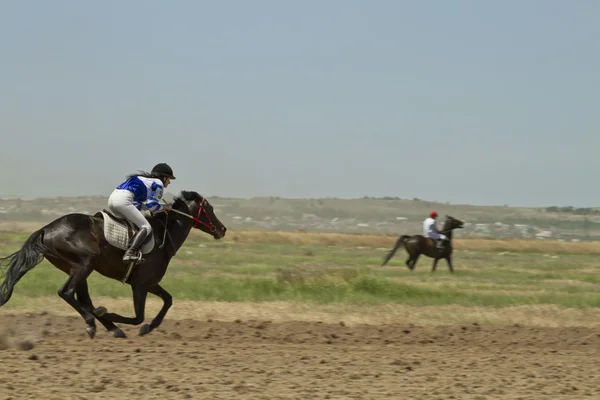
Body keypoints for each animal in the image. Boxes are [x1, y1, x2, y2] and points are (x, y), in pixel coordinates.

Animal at [0, 190, 226, 338]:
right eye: (209, 208)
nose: (222, 229)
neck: (163, 236)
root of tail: (46, 229)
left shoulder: (149, 283)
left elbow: (168, 300)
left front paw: (149, 327)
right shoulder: (140, 284)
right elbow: (138, 317)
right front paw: (112, 315)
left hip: (76, 268)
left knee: (83, 299)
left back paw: (109, 327)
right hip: (85, 265)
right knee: (67, 293)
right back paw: (95, 323)